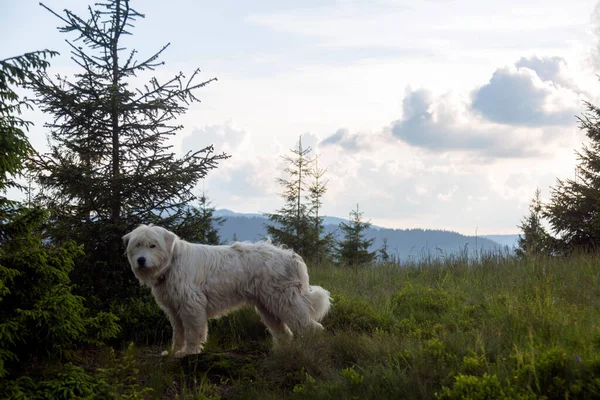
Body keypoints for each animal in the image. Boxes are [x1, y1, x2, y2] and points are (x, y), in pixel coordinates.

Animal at [120, 223, 328, 358]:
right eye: (137, 245)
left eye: (152, 245)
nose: (141, 260)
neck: (172, 262)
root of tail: (289, 255)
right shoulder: (174, 309)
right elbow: (178, 333)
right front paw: (173, 351)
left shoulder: (191, 306)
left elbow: (192, 332)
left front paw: (188, 352)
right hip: (268, 306)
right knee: (284, 333)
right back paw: (282, 352)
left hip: (284, 301)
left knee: (308, 326)